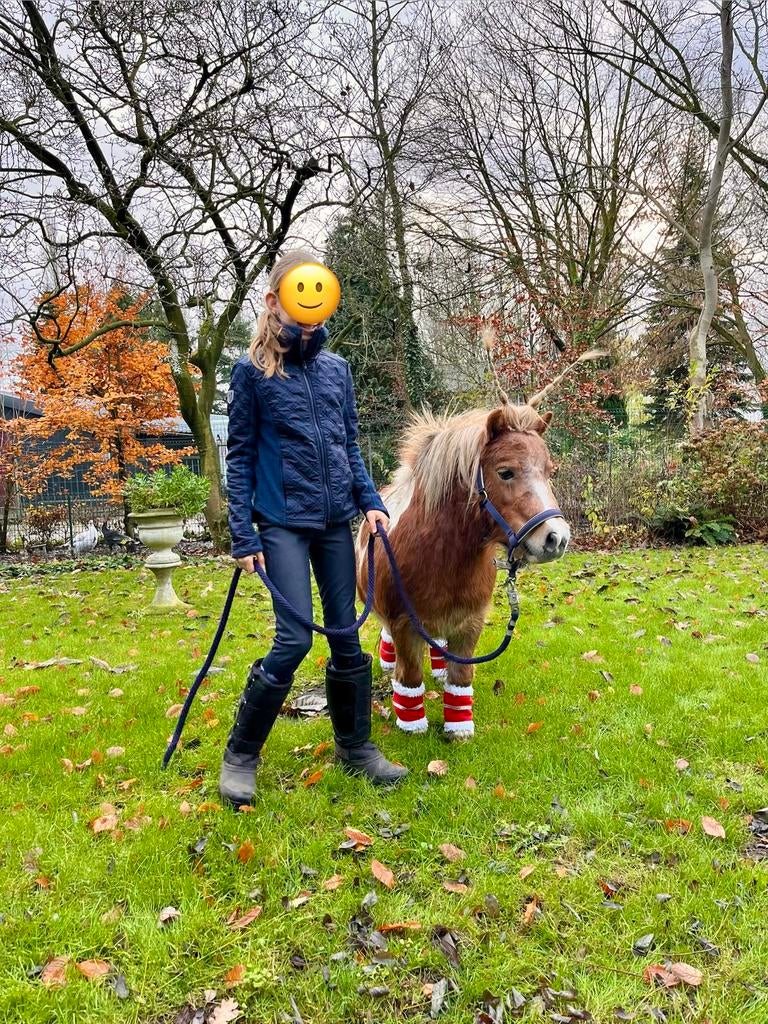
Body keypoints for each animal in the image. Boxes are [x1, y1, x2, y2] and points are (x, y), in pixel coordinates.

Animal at [355, 402, 570, 739]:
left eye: (549, 472)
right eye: (505, 472)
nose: (557, 538)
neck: (442, 556)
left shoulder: (470, 623)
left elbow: (461, 677)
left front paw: (458, 729)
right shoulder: (404, 624)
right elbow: (411, 677)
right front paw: (412, 725)